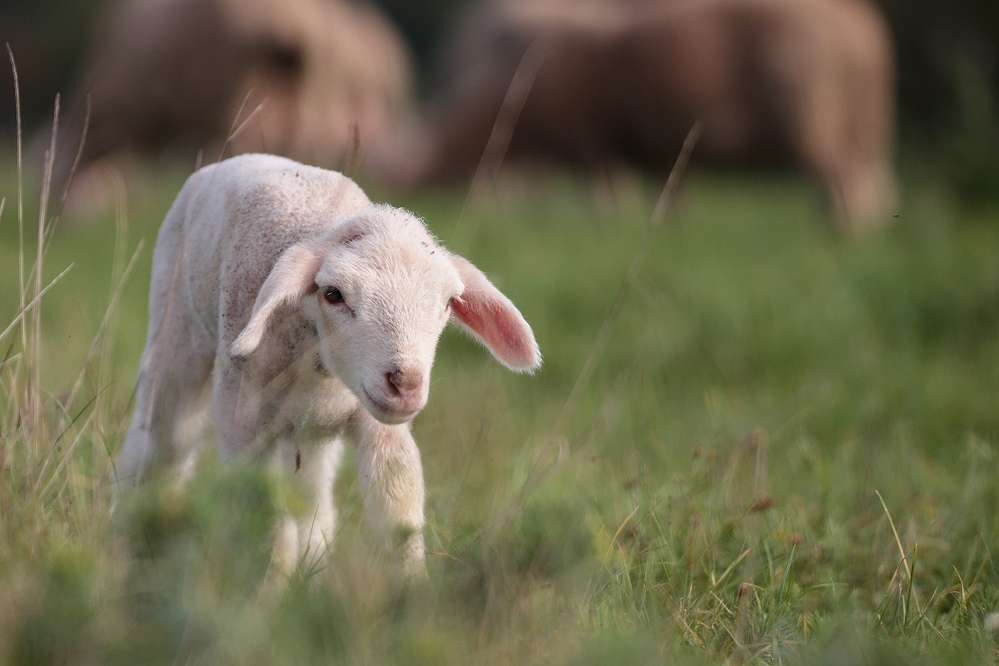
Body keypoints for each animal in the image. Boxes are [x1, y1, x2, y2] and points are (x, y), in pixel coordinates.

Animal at [113, 153, 544, 572]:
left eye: (450, 302)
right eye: (334, 294)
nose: (405, 383)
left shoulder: (377, 426)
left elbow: (398, 514)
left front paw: (410, 587)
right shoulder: (242, 422)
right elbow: (267, 523)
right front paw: (269, 589)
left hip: (308, 437)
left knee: (312, 499)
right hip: (174, 333)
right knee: (161, 443)